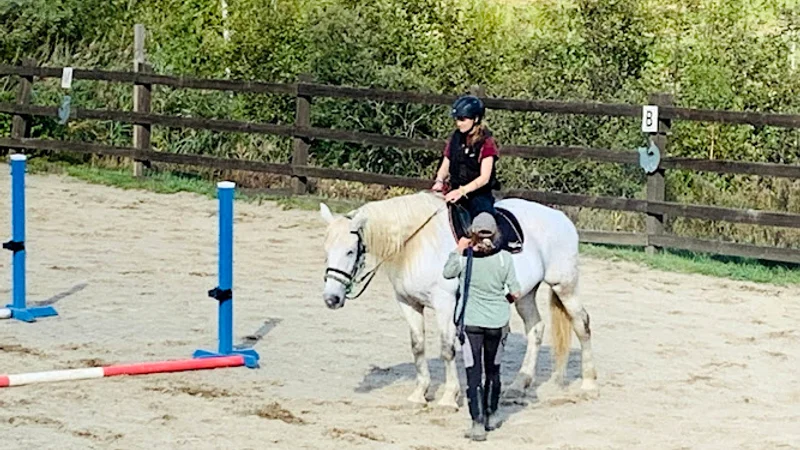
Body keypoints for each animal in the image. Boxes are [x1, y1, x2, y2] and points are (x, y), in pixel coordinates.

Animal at [318, 191, 597, 409]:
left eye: (350, 251)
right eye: (326, 251)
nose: (332, 298)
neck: (417, 244)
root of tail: (562, 219)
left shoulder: (445, 304)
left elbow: (446, 348)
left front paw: (448, 398)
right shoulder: (408, 303)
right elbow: (417, 346)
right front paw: (419, 394)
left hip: (565, 285)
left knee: (582, 324)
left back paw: (588, 382)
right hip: (524, 294)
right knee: (536, 329)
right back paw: (520, 385)